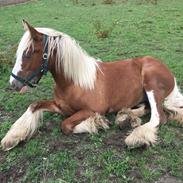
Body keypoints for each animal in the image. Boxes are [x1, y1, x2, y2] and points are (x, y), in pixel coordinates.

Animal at [1, 20, 183, 152]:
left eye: (28, 53)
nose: (13, 83)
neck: (73, 83)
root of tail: (168, 71)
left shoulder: (91, 109)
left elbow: (65, 125)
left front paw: (96, 123)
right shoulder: (60, 107)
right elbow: (34, 105)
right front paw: (12, 137)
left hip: (150, 82)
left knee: (158, 116)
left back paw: (136, 138)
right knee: (147, 108)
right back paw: (125, 118)